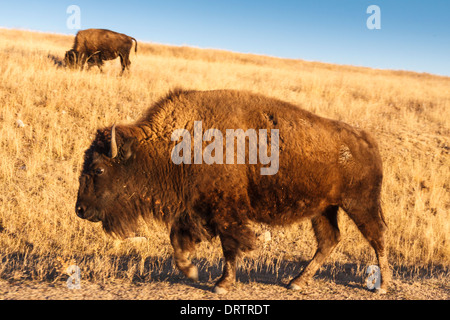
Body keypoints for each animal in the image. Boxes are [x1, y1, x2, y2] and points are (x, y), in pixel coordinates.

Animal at [74, 89, 390, 294]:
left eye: (98, 169)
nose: (80, 209)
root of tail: (367, 141)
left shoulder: (225, 212)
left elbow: (230, 247)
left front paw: (221, 285)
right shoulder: (192, 210)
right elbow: (178, 243)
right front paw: (192, 271)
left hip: (359, 204)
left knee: (377, 237)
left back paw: (382, 286)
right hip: (324, 209)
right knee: (329, 240)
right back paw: (296, 282)